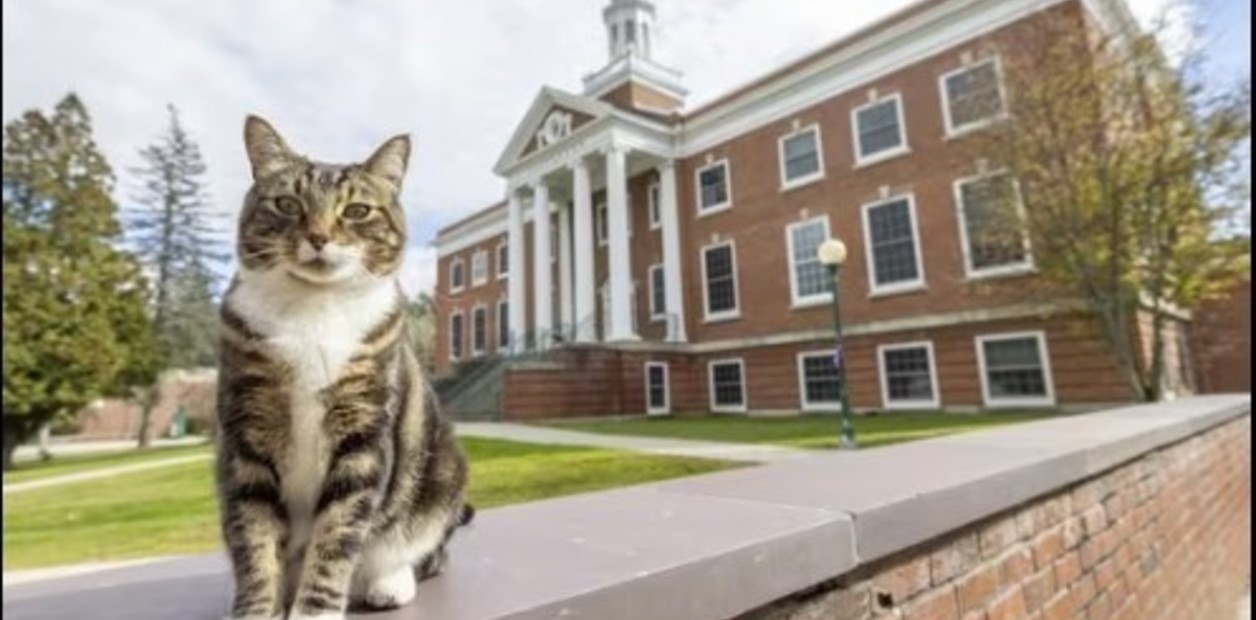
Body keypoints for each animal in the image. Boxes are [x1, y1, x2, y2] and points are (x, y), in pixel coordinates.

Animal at [216, 117, 472, 620]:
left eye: (357, 210)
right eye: (287, 203)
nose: (319, 237)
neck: (314, 309)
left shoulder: (363, 434)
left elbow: (336, 535)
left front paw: (313, 610)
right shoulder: (245, 437)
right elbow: (254, 540)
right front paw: (257, 609)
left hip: (442, 474)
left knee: (424, 550)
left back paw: (389, 583)